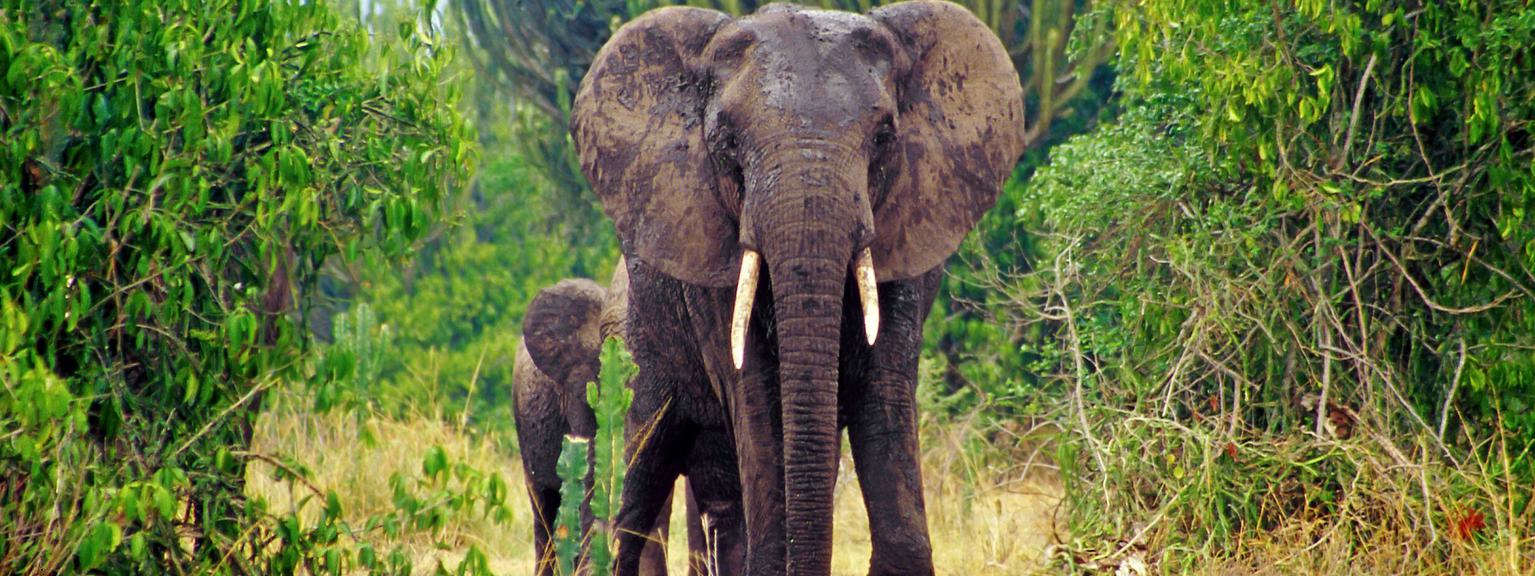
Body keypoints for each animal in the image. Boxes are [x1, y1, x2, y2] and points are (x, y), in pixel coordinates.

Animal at [570, 1, 1025, 574]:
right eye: (727, 142)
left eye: (883, 137)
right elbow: (759, 398)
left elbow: (884, 391)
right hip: (631, 340)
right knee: (633, 477)